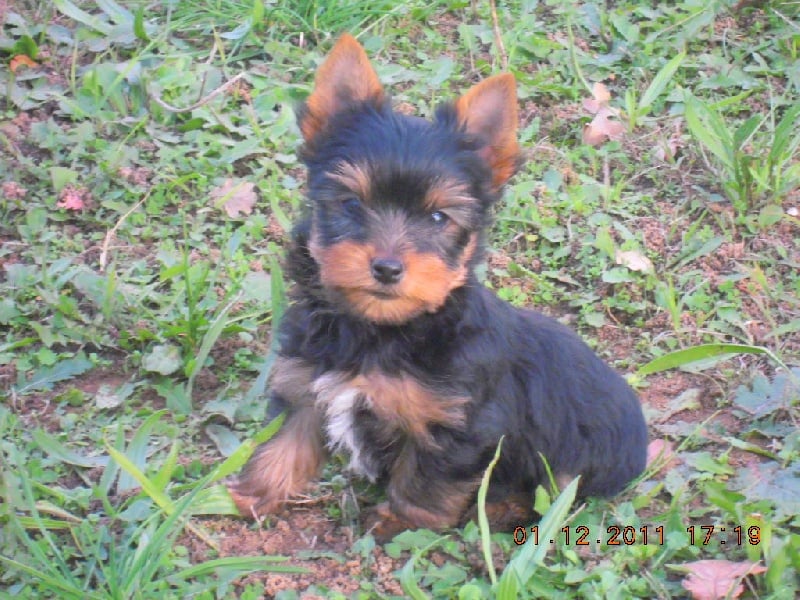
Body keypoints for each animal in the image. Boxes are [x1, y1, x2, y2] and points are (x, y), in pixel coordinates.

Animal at [228, 34, 648, 539]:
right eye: (350, 204)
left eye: (436, 218)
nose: (387, 267)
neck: (383, 329)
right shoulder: (306, 382)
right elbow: (285, 441)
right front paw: (251, 494)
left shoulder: (458, 423)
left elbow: (427, 479)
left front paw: (400, 522)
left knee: (556, 493)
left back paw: (502, 510)